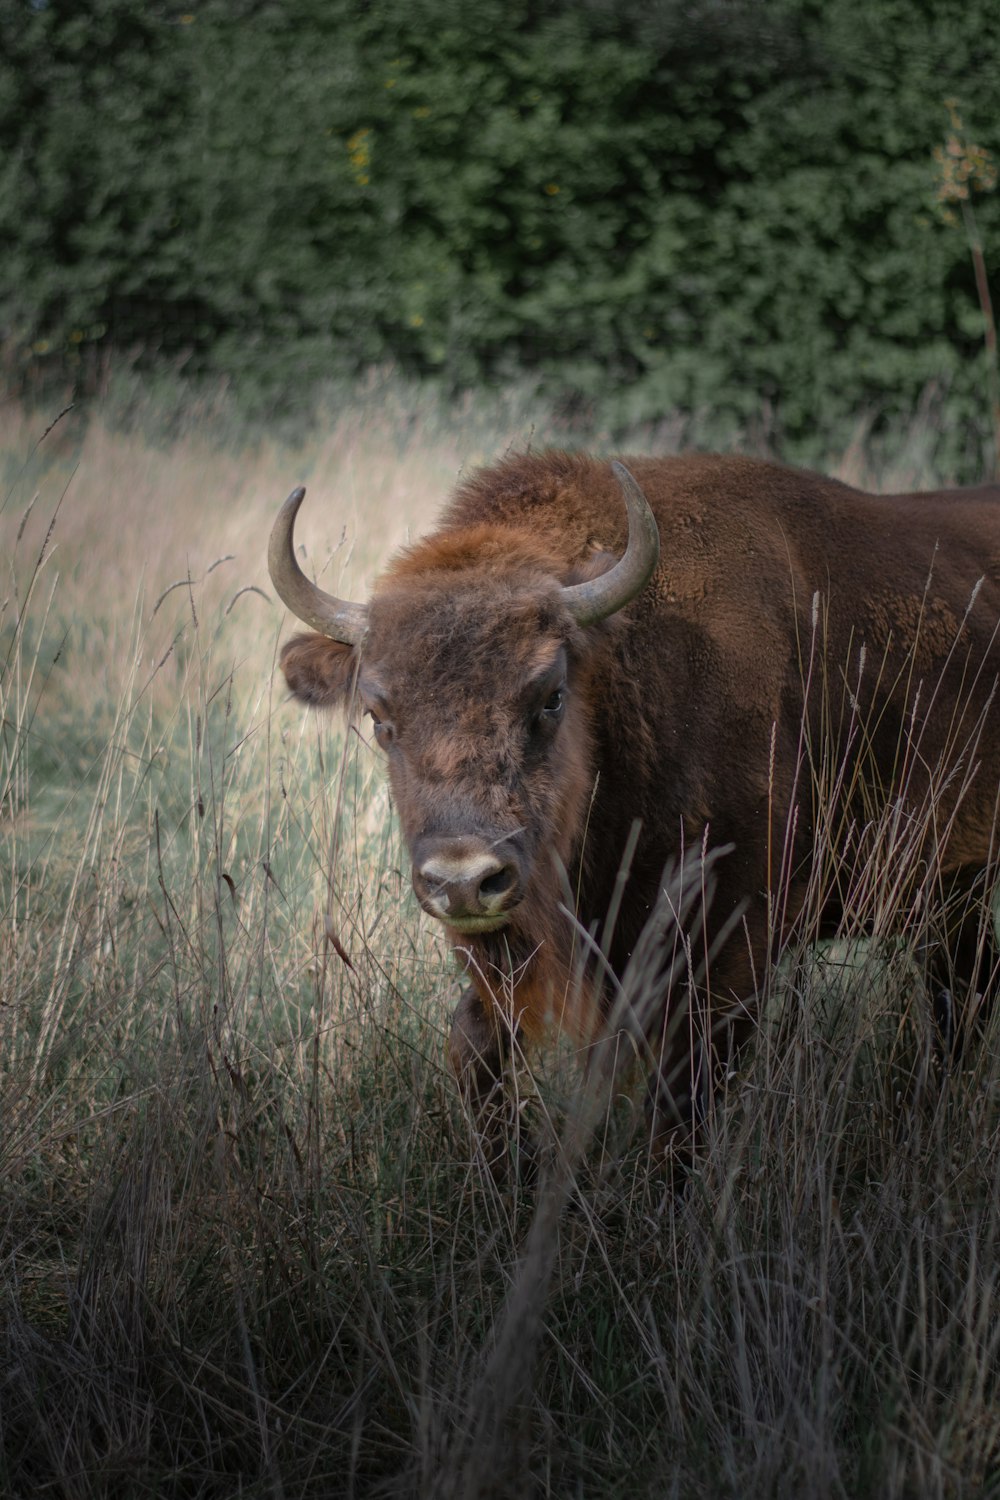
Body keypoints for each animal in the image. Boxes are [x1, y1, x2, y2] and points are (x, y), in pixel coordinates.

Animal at [265, 456, 1000, 1134]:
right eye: (379, 716)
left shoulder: (730, 953)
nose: (464, 880)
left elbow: (678, 1109)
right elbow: (474, 1050)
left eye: (550, 696)